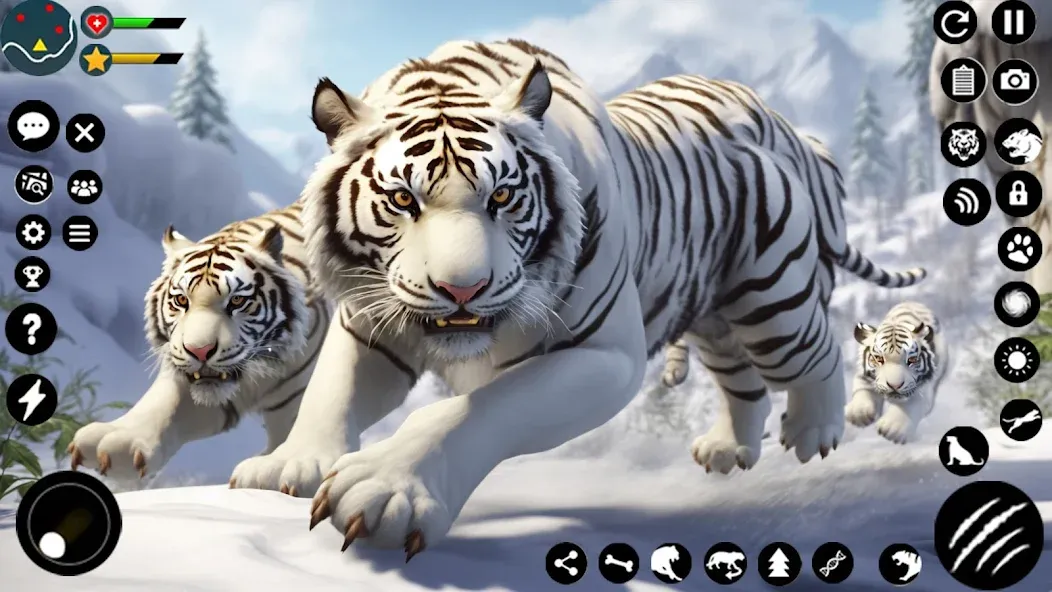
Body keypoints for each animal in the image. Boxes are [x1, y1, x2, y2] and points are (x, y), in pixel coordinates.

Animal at [67, 201, 331, 485]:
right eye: (181, 300)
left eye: (237, 301)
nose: (200, 351)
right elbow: (165, 403)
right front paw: (118, 442)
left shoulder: (296, 399)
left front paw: (277, 470)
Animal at [225, 39, 927, 559]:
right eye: (403, 199)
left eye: (502, 196)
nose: (462, 288)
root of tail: (784, 125)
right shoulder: (372, 323)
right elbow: (331, 393)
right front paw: (285, 468)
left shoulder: (600, 356)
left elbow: (470, 411)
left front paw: (385, 490)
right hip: (710, 313)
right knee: (741, 380)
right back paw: (729, 450)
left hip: (770, 294)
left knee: (813, 349)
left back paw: (814, 430)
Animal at [844, 301, 947, 444]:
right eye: (879, 358)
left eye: (912, 360)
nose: (894, 385)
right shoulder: (864, 376)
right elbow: (863, 390)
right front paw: (859, 413)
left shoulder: (924, 390)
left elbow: (911, 404)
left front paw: (892, 428)